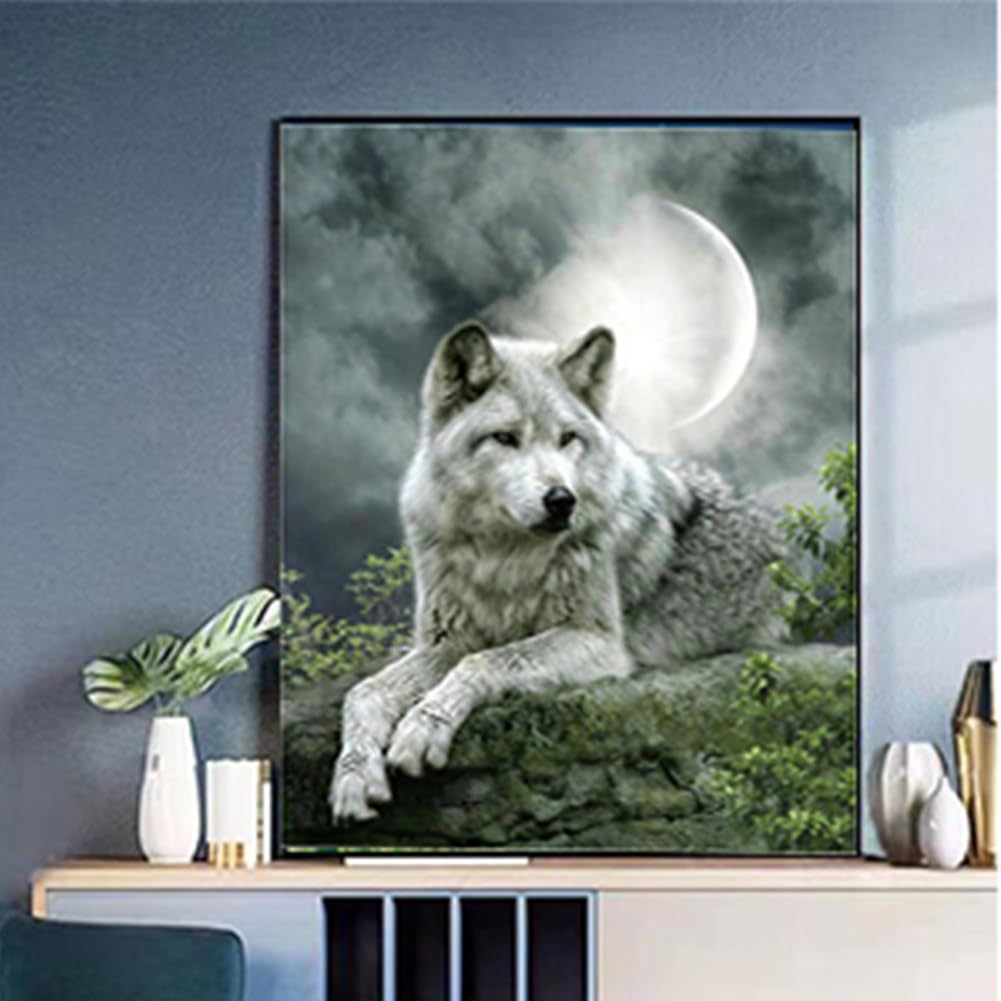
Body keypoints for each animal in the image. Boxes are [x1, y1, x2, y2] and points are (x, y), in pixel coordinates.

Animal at [331, 320, 781, 823]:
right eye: (505, 438)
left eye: (567, 438)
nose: (563, 500)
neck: (504, 559)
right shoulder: (447, 641)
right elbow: (363, 692)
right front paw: (354, 776)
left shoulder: (597, 641)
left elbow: (488, 661)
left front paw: (421, 728)